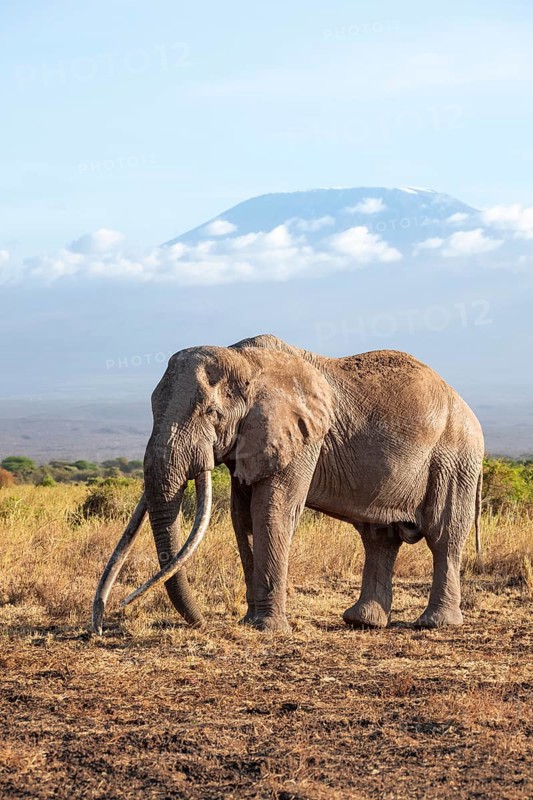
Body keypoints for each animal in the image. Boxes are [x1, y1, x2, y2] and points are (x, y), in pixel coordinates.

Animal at [93, 334, 484, 634]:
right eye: (152, 410)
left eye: (211, 413)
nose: (101, 622)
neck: (245, 360)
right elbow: (243, 518)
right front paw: (250, 623)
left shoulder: (301, 436)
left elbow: (271, 511)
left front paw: (266, 629)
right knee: (379, 537)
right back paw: (362, 622)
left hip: (455, 457)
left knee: (444, 533)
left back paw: (435, 624)